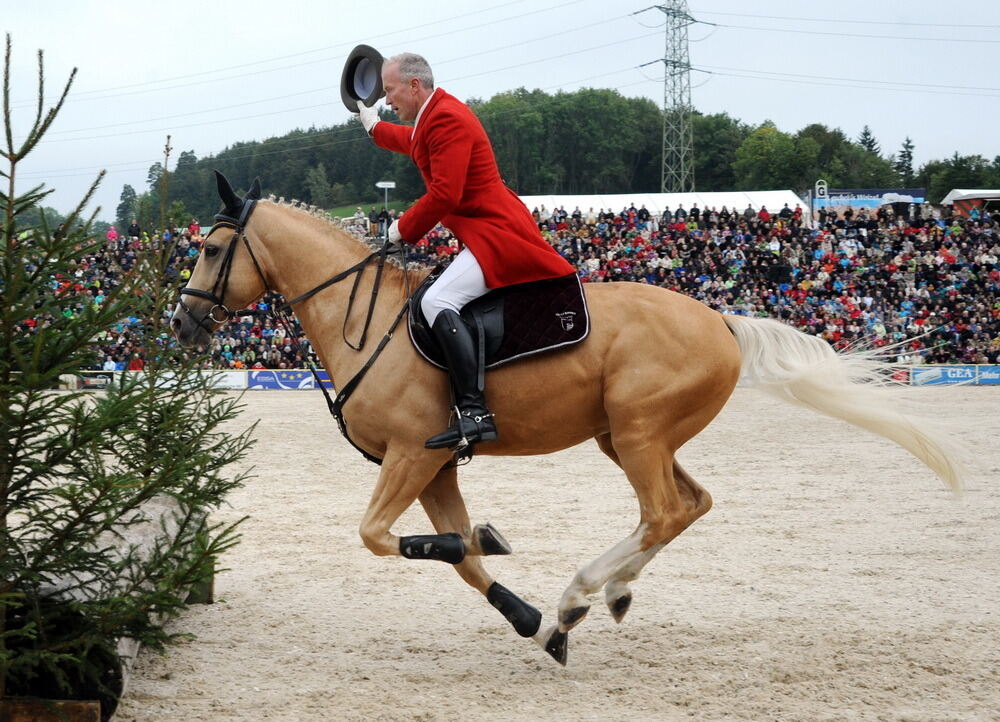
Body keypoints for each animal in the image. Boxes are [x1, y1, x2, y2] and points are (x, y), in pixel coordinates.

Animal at [170, 174, 960, 664]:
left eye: (208, 249)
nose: (180, 325)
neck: (368, 323)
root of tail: (719, 321)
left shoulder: (411, 454)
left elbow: (384, 537)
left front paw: (504, 575)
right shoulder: (434, 463)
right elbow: (458, 555)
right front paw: (520, 609)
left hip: (637, 434)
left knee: (663, 512)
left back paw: (583, 592)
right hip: (629, 436)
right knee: (690, 504)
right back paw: (601, 595)